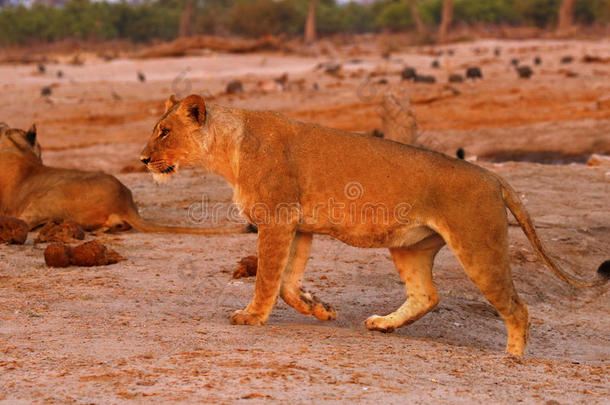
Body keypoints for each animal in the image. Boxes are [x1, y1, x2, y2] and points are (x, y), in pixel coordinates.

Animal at [139, 94, 608, 354]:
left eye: (164, 132)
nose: (142, 160)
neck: (226, 151)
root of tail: (493, 176)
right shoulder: (299, 227)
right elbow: (288, 282)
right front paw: (319, 308)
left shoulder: (278, 218)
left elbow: (268, 277)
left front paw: (252, 316)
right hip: (410, 247)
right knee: (427, 295)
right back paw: (384, 324)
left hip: (479, 246)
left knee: (517, 307)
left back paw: (512, 358)